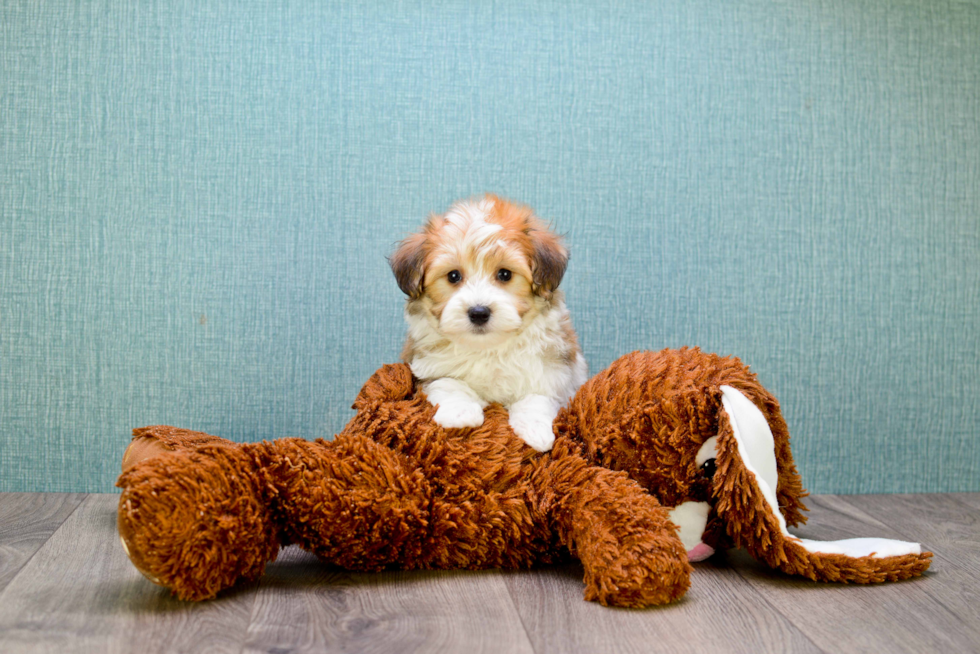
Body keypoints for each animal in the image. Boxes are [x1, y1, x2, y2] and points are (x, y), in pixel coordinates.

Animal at [390, 192, 588, 454]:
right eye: (453, 276)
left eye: (505, 274)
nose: (479, 312)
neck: (489, 348)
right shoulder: (426, 364)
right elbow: (447, 382)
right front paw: (460, 413)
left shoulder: (553, 373)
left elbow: (537, 397)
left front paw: (535, 429)